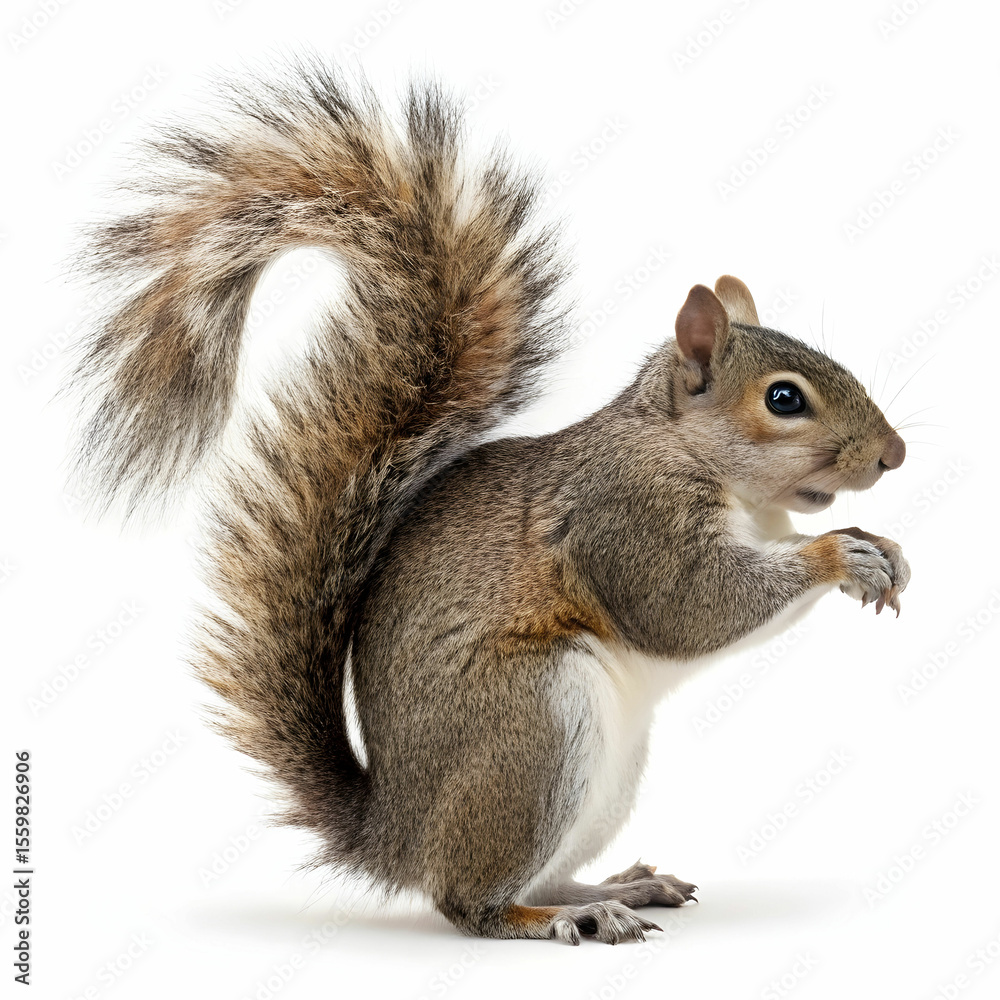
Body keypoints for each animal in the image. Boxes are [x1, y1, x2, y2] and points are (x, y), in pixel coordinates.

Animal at [65, 60, 911, 946]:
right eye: (784, 399)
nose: (895, 455)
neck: (702, 463)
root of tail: (396, 833)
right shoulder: (622, 515)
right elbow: (685, 605)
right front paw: (838, 553)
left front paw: (883, 549)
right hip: (534, 729)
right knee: (471, 902)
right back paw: (564, 918)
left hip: (601, 775)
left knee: (538, 871)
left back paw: (613, 888)